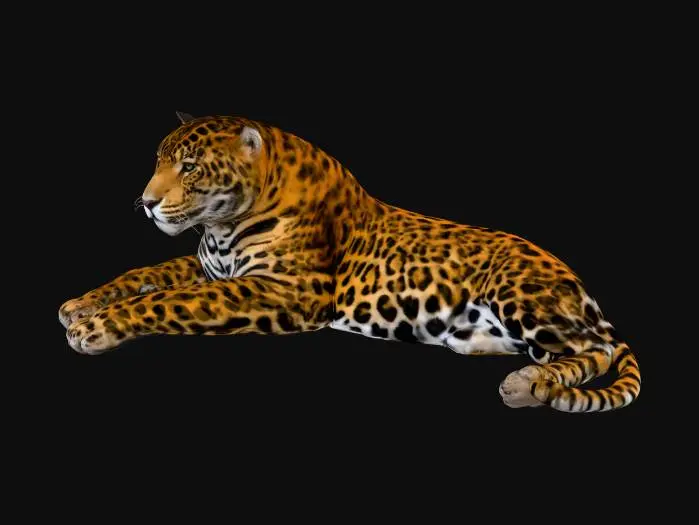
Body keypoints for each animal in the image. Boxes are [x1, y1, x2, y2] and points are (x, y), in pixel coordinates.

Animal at [58, 112, 641, 413]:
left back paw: (529, 385)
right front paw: (82, 304)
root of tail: (579, 284)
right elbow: (149, 275)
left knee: (595, 351)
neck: (222, 224)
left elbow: (172, 300)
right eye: (158, 161)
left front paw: (95, 328)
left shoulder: (286, 291)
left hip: (521, 294)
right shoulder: (214, 267)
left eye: (191, 167)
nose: (145, 201)